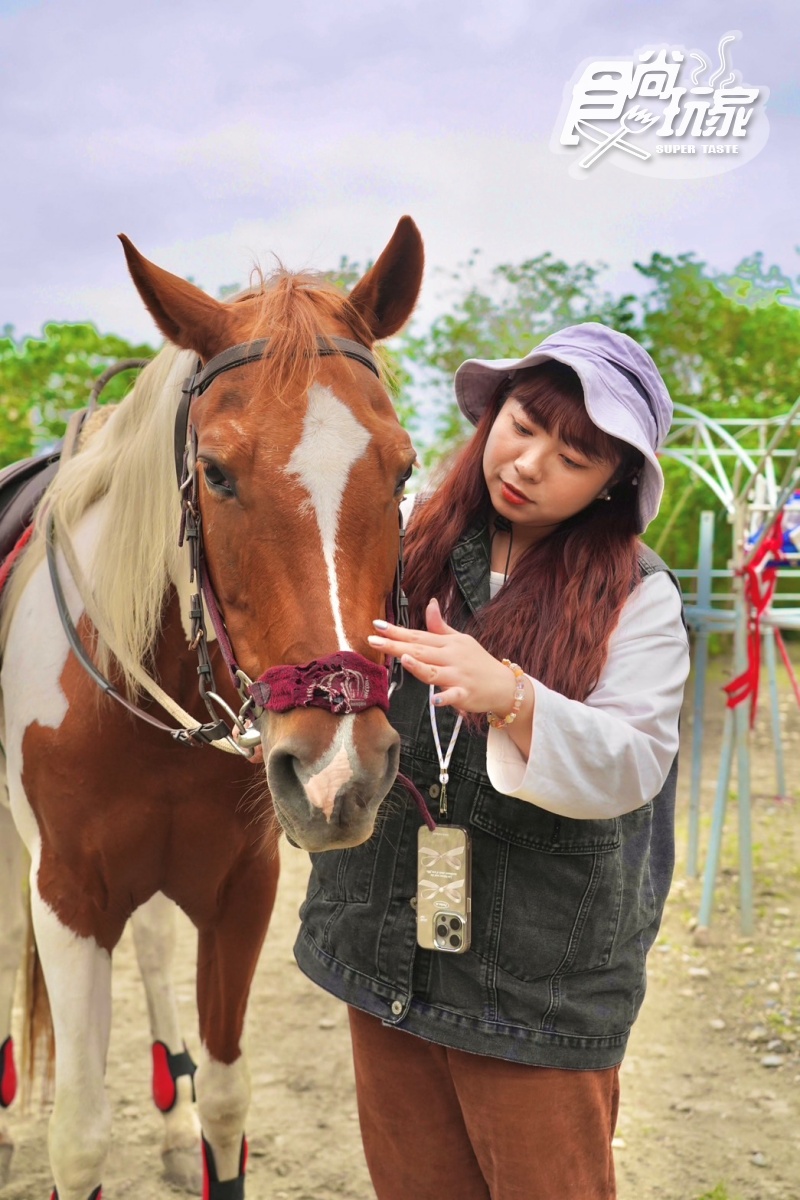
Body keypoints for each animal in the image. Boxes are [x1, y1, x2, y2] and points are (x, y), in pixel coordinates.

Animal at [0, 218, 424, 1200]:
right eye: (217, 473)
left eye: (402, 471)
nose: (340, 772)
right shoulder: (67, 898)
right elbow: (77, 1139)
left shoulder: (239, 892)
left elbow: (229, 1105)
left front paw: (192, 1114)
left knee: (154, 946)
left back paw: (169, 1101)